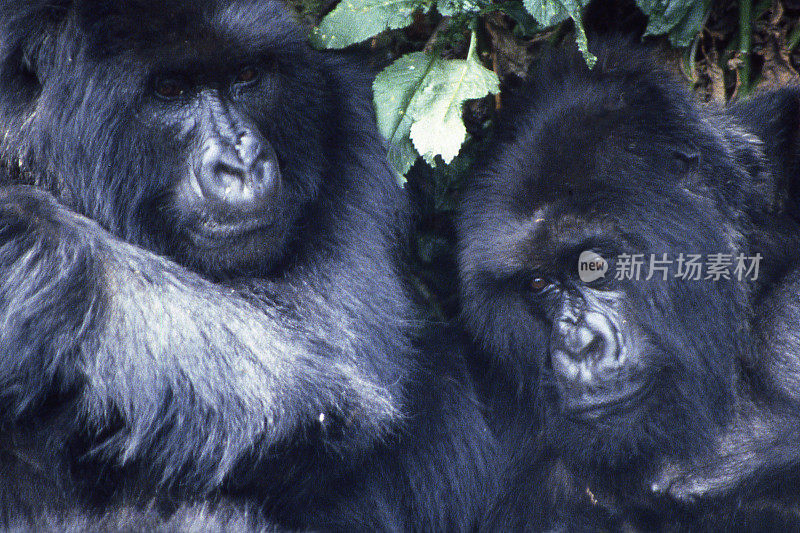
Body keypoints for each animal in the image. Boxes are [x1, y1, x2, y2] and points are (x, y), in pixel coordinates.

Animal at [0, 0, 500, 528]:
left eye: (246, 76)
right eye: (170, 90)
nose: (242, 162)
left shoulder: (354, 116)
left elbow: (322, 345)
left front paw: (21, 230)